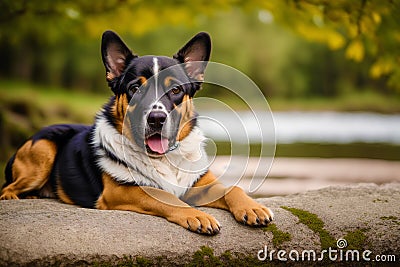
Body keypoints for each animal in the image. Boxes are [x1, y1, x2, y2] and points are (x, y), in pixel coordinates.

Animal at [0, 31, 274, 236]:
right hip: (43, 149)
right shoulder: (123, 190)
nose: (156, 119)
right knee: (6, 188)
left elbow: (232, 188)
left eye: (176, 90)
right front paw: (196, 215)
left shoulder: (200, 184)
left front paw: (253, 208)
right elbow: (165, 196)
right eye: (135, 88)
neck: (164, 158)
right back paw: (16, 196)